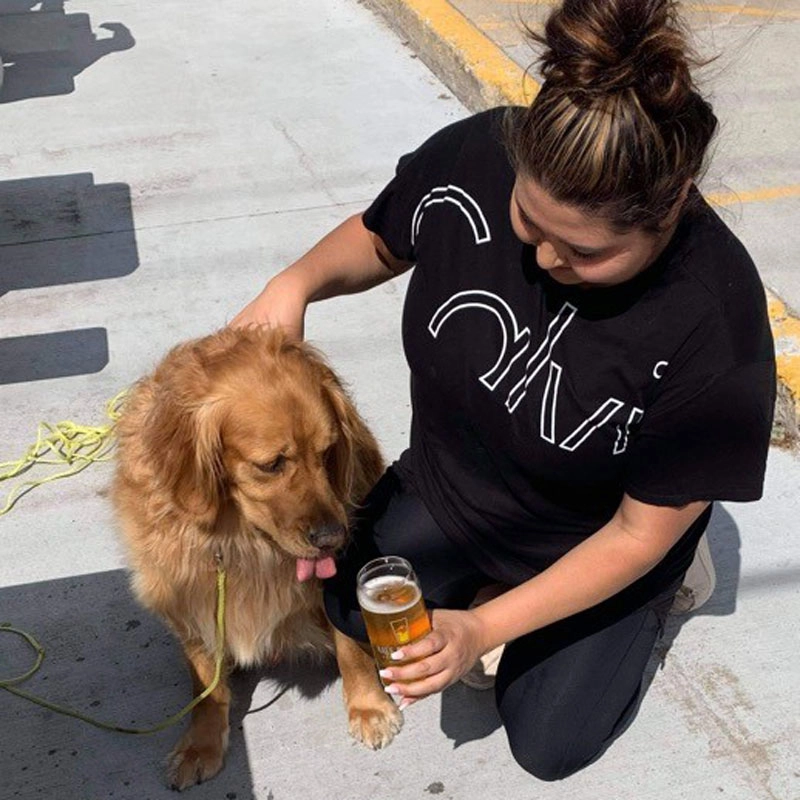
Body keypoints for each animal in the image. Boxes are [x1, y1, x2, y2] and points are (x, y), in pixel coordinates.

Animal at [111, 328, 400, 792]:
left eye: (327, 453)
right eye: (271, 464)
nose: (333, 538)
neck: (240, 538)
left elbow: (348, 647)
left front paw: (368, 707)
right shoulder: (185, 597)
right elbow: (206, 687)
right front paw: (201, 745)